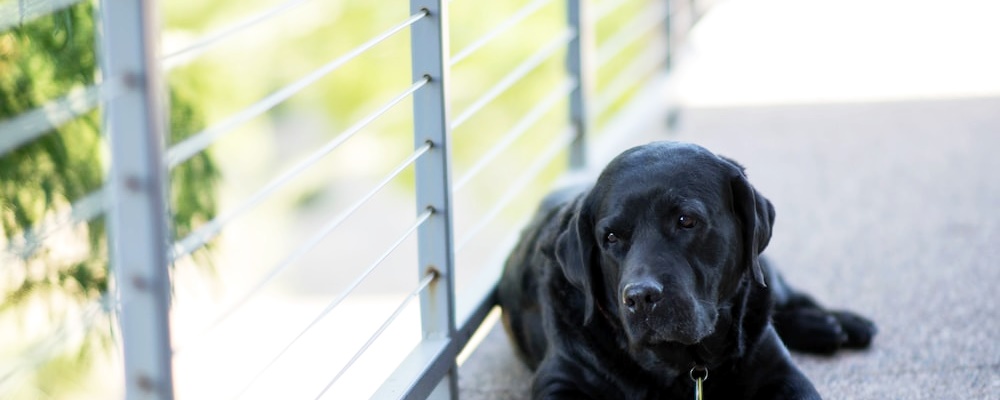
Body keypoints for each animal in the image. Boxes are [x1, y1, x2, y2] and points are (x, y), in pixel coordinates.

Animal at [500, 140, 876, 396]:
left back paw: (842, 324)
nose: (640, 297)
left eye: (686, 220)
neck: (686, 367)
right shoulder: (560, 377)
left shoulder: (779, 371)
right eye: (610, 237)